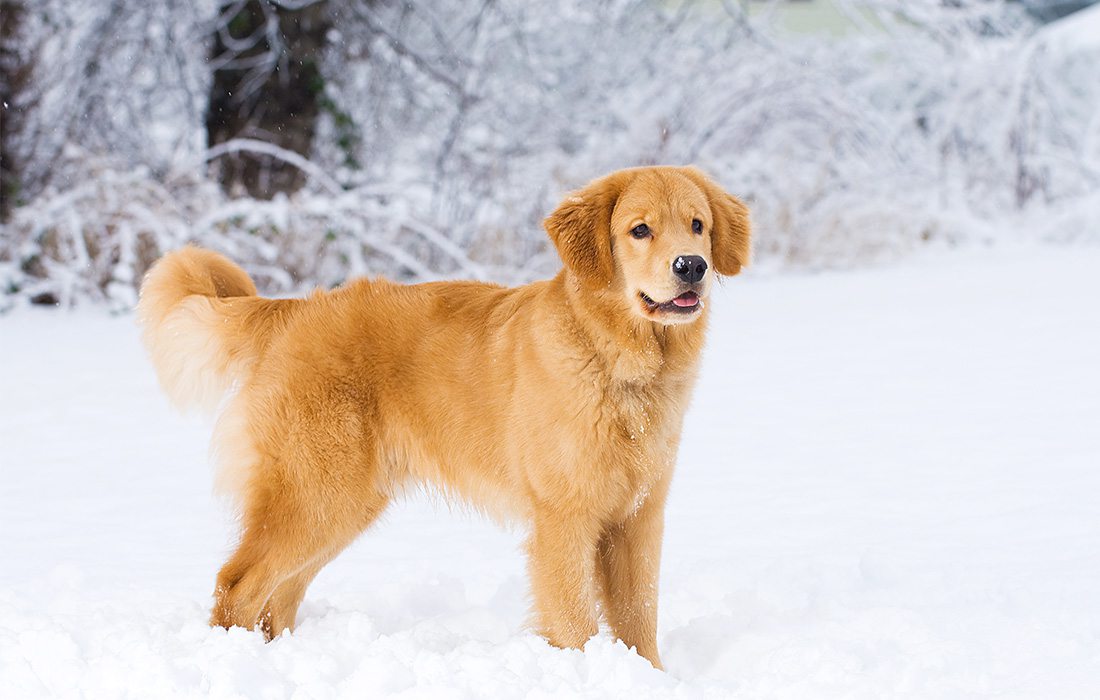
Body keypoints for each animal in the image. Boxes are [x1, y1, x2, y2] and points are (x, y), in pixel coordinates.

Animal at [137, 163, 752, 669]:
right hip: (315, 492)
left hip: (341, 505)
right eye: (640, 230)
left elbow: (639, 619)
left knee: (279, 596)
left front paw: (650, 678)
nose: (691, 266)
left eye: (697, 225)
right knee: (237, 585)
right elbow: (576, 621)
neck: (617, 361)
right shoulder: (564, 520)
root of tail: (293, 309)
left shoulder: (638, 518)